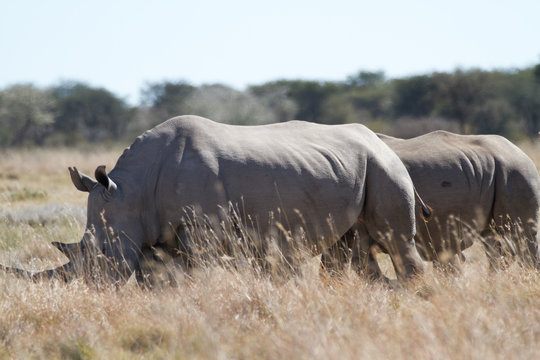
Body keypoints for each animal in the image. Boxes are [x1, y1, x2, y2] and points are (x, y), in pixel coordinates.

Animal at [1, 115, 430, 284]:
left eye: (102, 252)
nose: (93, 289)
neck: (132, 189)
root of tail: (381, 140)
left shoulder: (199, 224)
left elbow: (197, 269)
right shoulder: (156, 228)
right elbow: (160, 277)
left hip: (386, 166)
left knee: (394, 239)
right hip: (355, 167)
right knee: (351, 245)